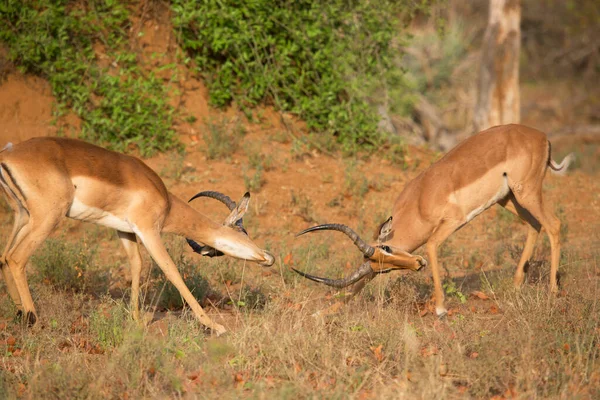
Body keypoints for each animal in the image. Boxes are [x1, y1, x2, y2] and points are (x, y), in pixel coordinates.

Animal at [0, 138, 276, 334]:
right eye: (242, 231)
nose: (268, 257)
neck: (163, 198)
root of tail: (8, 154)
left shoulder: (125, 230)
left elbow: (136, 265)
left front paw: (137, 320)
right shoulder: (148, 229)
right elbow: (171, 270)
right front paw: (214, 326)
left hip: (23, 216)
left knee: (4, 257)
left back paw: (19, 313)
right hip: (48, 217)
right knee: (16, 258)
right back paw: (33, 319)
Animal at [292, 123, 576, 318]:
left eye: (387, 248)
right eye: (385, 269)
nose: (417, 264)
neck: (419, 200)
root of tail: (541, 136)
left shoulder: (452, 221)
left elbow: (430, 246)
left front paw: (440, 308)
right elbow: (359, 284)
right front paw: (322, 312)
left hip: (525, 192)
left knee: (554, 224)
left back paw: (552, 291)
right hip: (508, 199)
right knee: (535, 225)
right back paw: (516, 286)